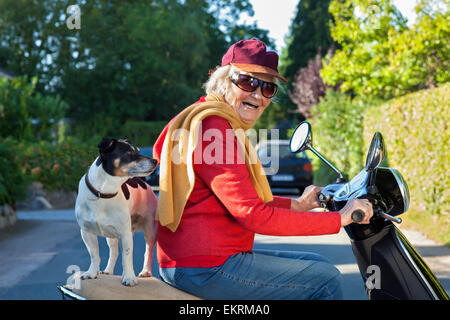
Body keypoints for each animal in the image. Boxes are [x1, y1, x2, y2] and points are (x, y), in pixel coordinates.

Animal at [74, 139, 157, 286]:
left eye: (139, 151)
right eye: (129, 153)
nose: (155, 161)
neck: (103, 193)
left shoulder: (125, 234)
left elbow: (127, 257)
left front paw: (129, 277)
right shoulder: (86, 232)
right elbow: (94, 255)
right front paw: (92, 273)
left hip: (149, 230)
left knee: (148, 251)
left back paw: (145, 271)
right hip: (111, 236)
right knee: (114, 252)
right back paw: (108, 270)